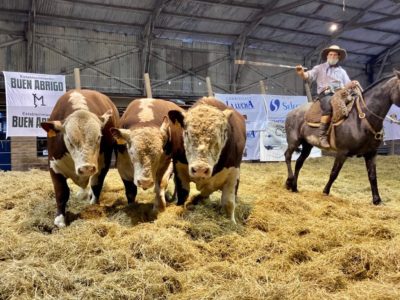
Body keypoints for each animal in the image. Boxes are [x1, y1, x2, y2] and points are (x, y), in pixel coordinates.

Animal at [41, 89, 119, 227]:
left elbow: (96, 184)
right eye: (69, 140)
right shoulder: (54, 166)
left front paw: (94, 205)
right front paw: (60, 219)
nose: (86, 168)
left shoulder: (104, 164)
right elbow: (61, 192)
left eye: (99, 137)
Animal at [284, 71, 400, 205]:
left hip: (307, 145)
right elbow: (334, 173)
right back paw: (289, 181)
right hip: (294, 141)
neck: (361, 118)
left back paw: (294, 187)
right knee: (288, 156)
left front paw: (377, 200)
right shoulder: (342, 152)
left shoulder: (371, 153)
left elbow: (372, 176)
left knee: (299, 162)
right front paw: (325, 192)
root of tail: (292, 113)